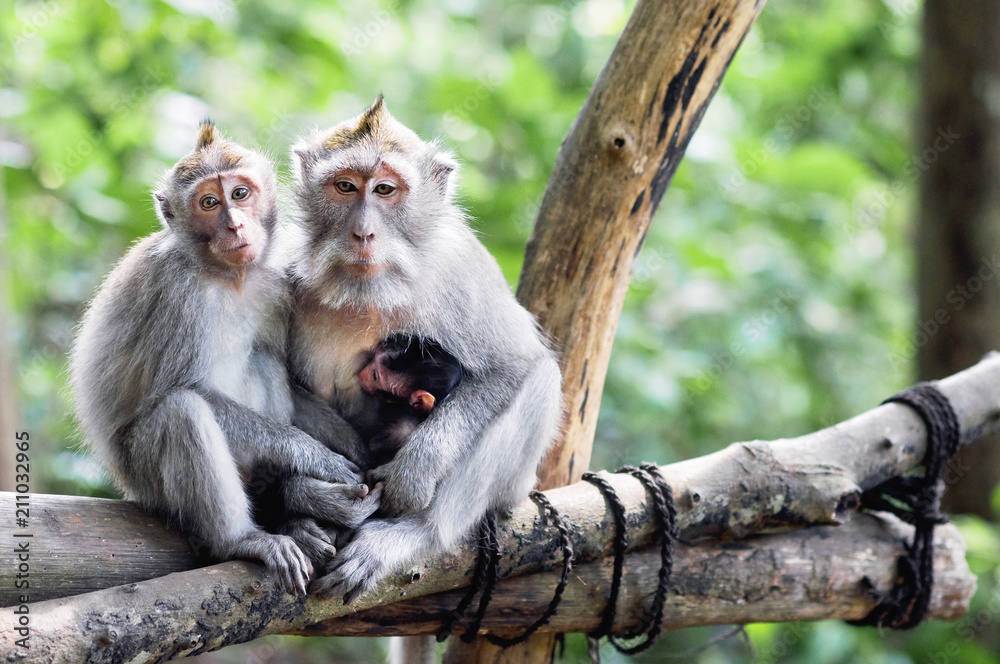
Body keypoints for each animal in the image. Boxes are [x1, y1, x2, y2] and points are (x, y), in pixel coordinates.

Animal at [69, 122, 380, 595]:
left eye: (240, 193)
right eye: (209, 203)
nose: (234, 225)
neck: (227, 276)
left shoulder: (276, 280)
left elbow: (284, 373)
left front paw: (353, 448)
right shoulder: (176, 292)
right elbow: (183, 389)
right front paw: (315, 456)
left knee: (263, 361)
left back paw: (295, 512)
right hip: (147, 481)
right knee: (182, 412)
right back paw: (244, 539)